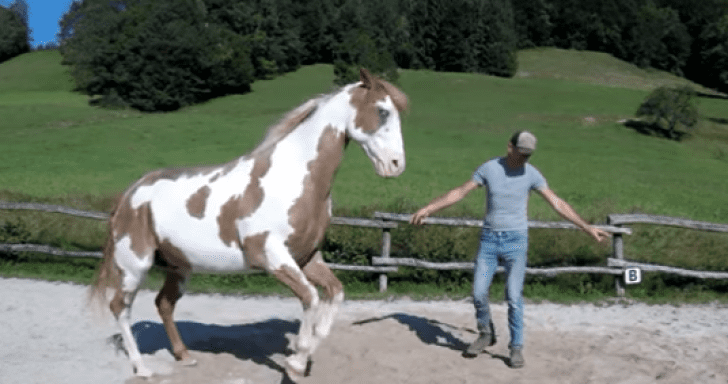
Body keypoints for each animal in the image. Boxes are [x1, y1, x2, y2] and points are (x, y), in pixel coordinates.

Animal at [87, 67, 406, 380]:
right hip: (134, 265)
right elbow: (311, 298)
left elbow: (335, 294)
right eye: (382, 111)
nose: (396, 165)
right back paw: (142, 368)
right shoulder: (271, 256)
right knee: (120, 307)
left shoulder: (306, 257)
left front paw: (303, 356)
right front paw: (295, 363)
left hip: (179, 267)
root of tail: (130, 193)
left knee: (163, 303)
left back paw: (185, 357)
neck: (292, 179)